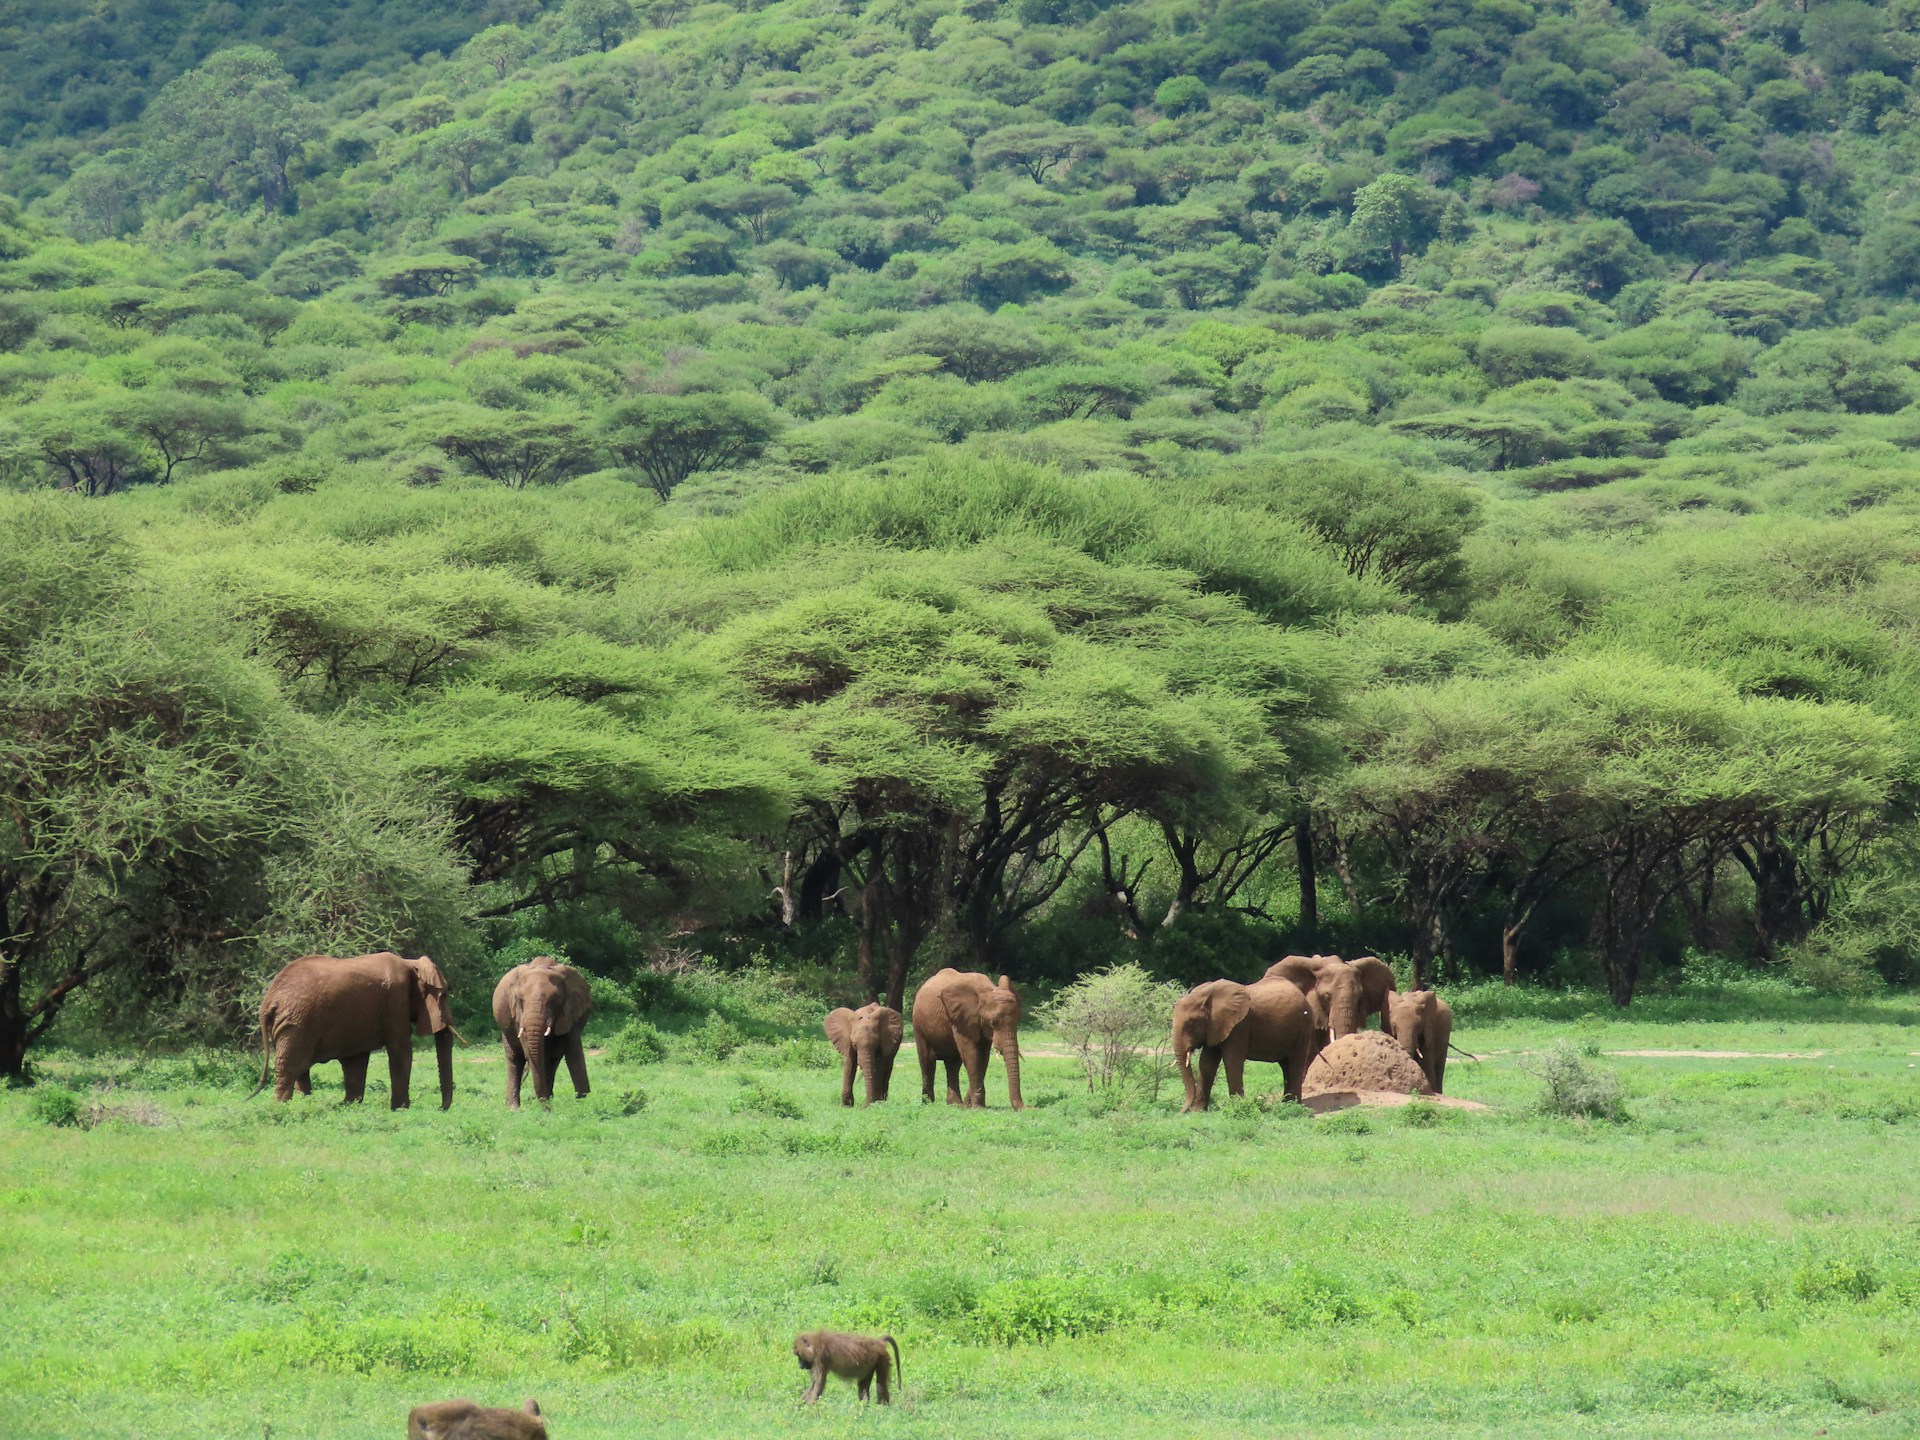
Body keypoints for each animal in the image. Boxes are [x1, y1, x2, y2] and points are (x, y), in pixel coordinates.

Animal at [251, 952, 457, 1110]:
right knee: (291, 1065)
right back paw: (282, 1106)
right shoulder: (396, 1002)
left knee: (300, 1067)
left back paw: (305, 1103)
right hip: (297, 1023)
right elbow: (401, 1051)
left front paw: (348, 1105)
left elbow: (356, 1061)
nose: (440, 1108)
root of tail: (269, 1000)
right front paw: (401, 1109)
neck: (410, 963)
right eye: (443, 995)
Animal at [491, 956, 593, 1109]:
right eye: (520, 999)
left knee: (552, 1060)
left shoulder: (570, 1011)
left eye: (555, 1000)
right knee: (515, 1059)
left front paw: (583, 1102)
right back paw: (514, 1108)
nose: (547, 1109)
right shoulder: (518, 1015)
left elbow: (574, 1051)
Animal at [910, 969, 1024, 1110]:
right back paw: (928, 1103)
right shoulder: (961, 1018)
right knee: (927, 1062)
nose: (1025, 1108)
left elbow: (983, 1057)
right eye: (992, 1022)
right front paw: (978, 1108)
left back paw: (955, 1104)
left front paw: (970, 1105)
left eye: (1018, 1021)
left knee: (953, 1064)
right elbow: (972, 1054)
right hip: (918, 1024)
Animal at [1172, 975, 1314, 1111]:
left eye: (1190, 1024)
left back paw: (1293, 1105)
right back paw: (1286, 1104)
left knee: (1295, 1063)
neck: (1204, 996)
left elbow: (1232, 1062)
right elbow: (1206, 1063)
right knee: (1286, 1065)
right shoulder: (1214, 1027)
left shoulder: (1239, 1026)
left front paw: (1237, 1106)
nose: (1180, 1112)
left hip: (1303, 1028)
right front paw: (1198, 1112)